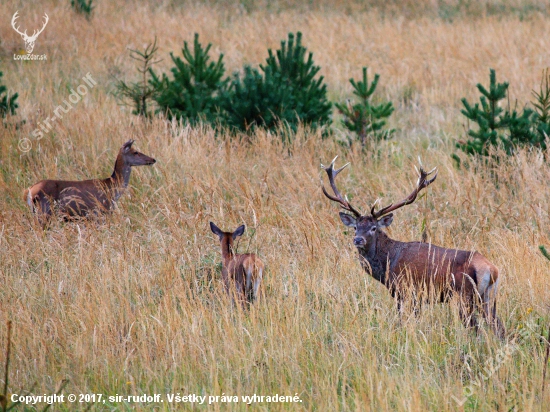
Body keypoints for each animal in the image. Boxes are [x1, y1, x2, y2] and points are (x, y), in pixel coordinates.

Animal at [24, 141, 156, 225]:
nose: (153, 159)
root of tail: (29, 191)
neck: (112, 188)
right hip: (44, 212)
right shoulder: (99, 212)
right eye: (135, 152)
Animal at [322, 156, 506, 336]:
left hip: (463, 296)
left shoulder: (406, 291)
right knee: (498, 327)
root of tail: (491, 269)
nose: (358, 240)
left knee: (476, 328)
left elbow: (403, 322)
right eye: (355, 227)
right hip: (488, 297)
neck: (388, 264)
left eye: (373, 228)